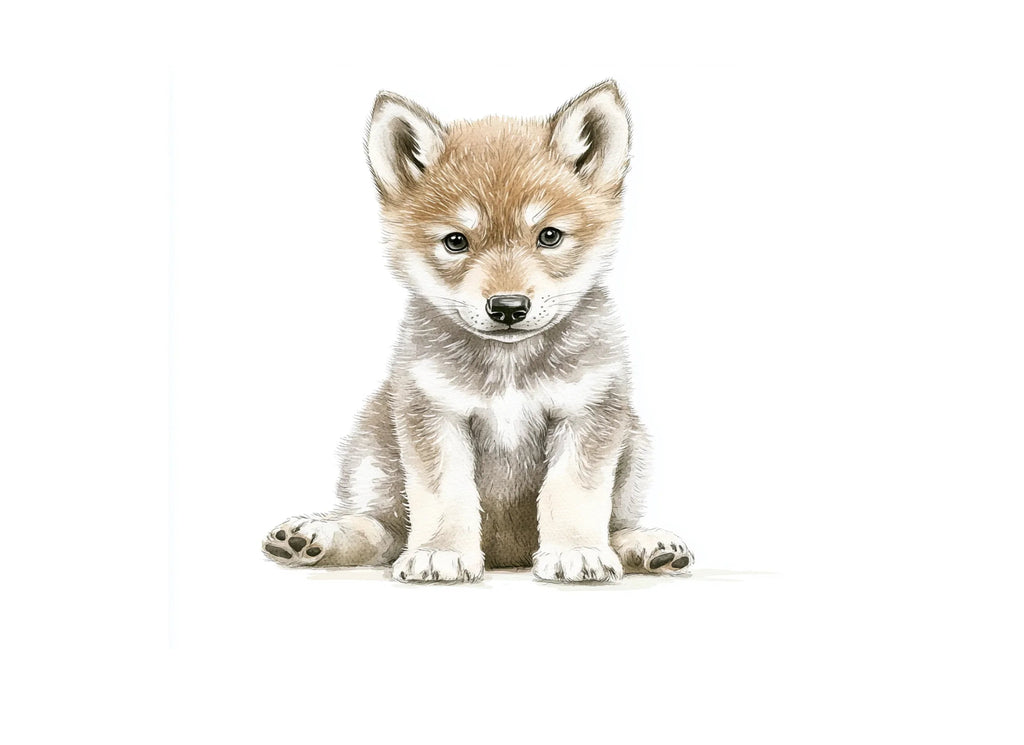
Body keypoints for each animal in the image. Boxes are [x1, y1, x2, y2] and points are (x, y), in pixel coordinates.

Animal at [262, 81, 694, 582]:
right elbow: (443, 496)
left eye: (549, 236)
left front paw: (575, 551)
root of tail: (509, 555)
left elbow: (573, 494)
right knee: (381, 531)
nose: (508, 307)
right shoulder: (434, 415)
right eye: (456, 241)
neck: (508, 366)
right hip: (372, 448)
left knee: (618, 522)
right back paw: (313, 537)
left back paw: (647, 546)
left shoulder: (588, 413)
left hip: (636, 445)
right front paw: (440, 552)